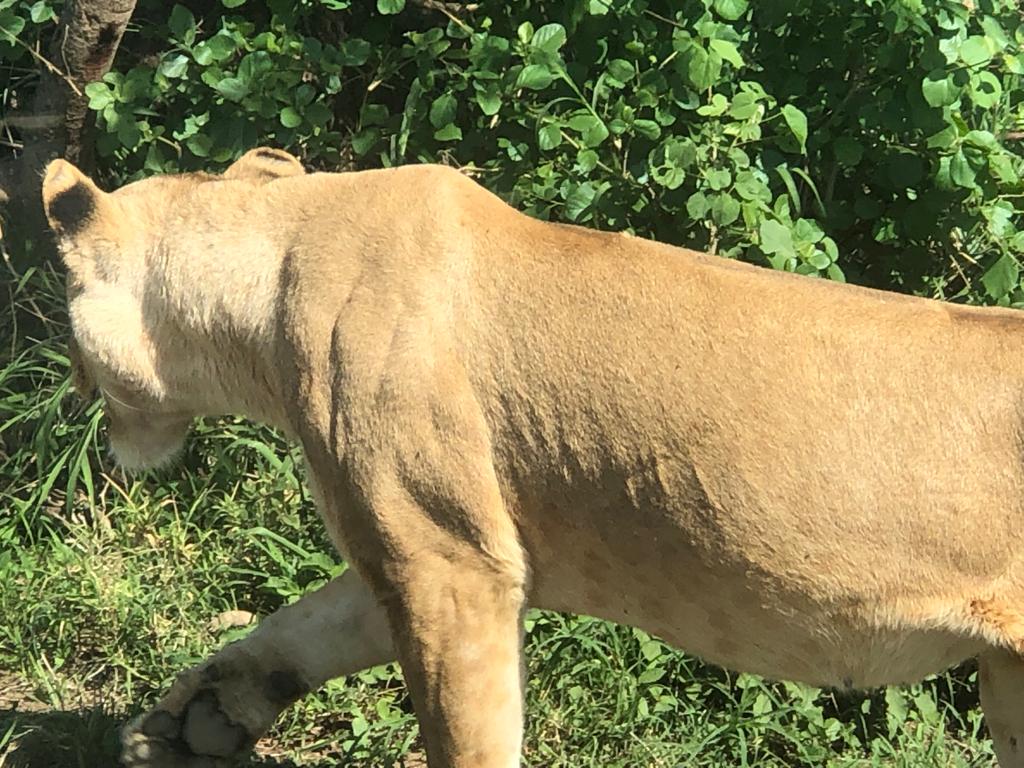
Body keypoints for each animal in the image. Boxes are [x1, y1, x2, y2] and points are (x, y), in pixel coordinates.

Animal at [40, 147, 1024, 768]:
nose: (73, 386)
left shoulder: (452, 565)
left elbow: (467, 733)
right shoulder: (431, 545)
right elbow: (298, 629)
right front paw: (191, 721)